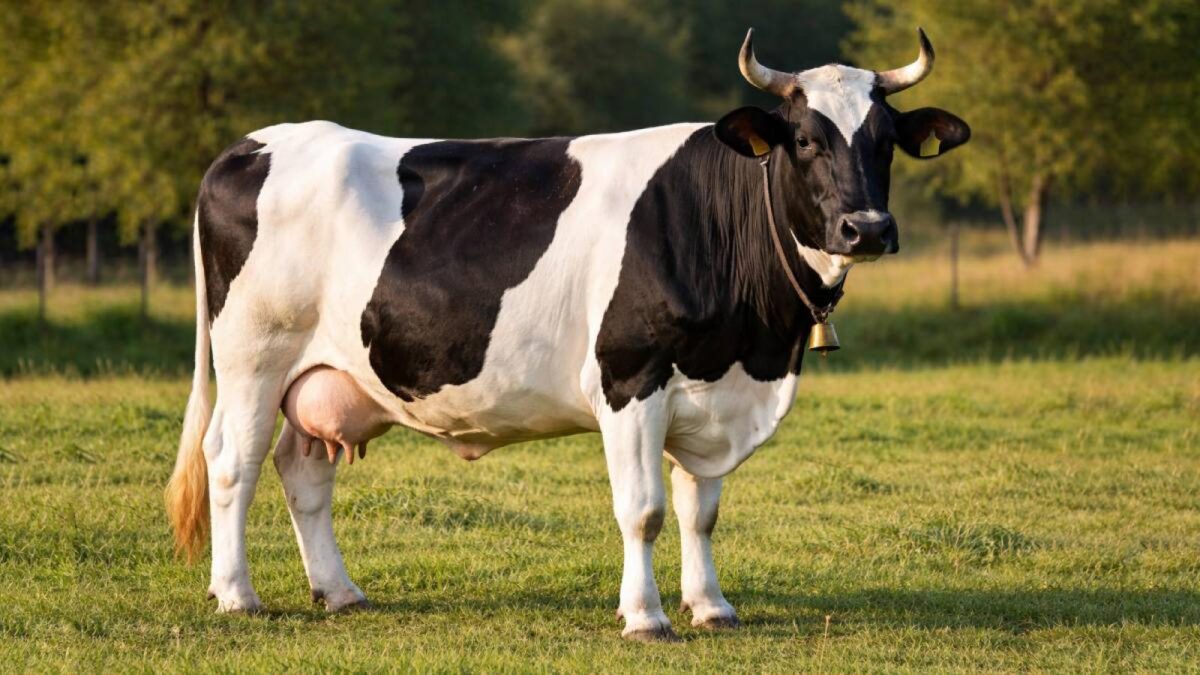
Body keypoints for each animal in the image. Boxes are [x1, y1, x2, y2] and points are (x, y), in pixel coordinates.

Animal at [166, 28, 969, 642]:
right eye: (803, 138)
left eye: (887, 141)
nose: (867, 228)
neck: (757, 343)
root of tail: (254, 143)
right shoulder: (629, 379)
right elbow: (643, 509)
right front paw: (645, 616)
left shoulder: (714, 388)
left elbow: (700, 509)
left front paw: (711, 606)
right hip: (254, 356)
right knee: (230, 461)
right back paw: (237, 594)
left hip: (328, 375)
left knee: (302, 471)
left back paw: (339, 591)